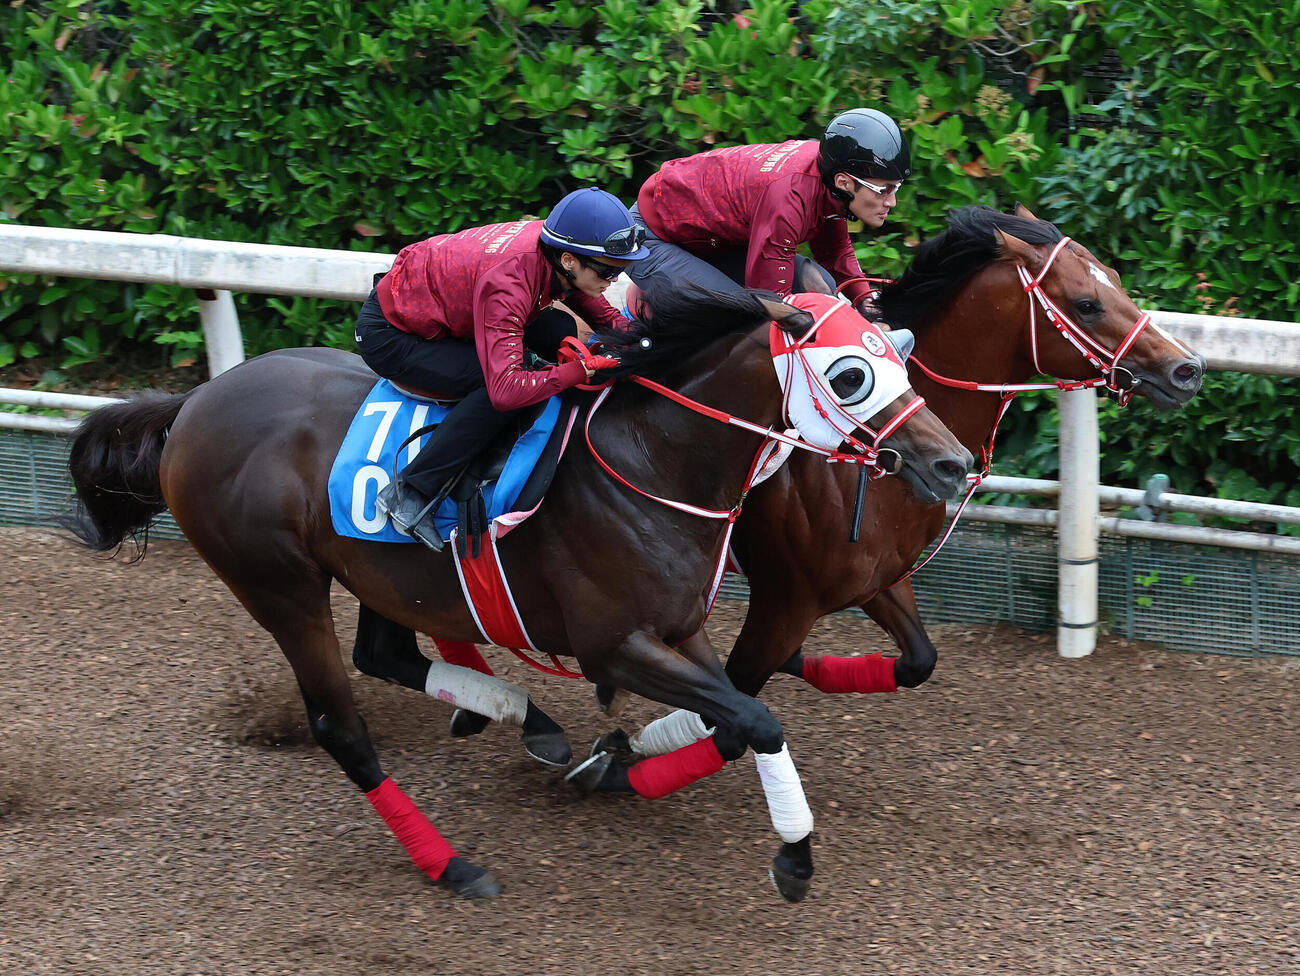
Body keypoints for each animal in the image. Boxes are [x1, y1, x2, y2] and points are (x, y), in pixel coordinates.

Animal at [64, 284, 973, 900]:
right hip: (278, 583)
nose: (952, 463)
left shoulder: (684, 630)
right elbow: (754, 716)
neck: (653, 459)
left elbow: (736, 712)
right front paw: (793, 855)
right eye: (850, 375)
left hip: (378, 571)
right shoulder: (617, 644)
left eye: (899, 354)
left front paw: (616, 764)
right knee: (339, 726)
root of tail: (194, 405)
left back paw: (518, 716)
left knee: (385, 652)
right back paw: (451, 862)